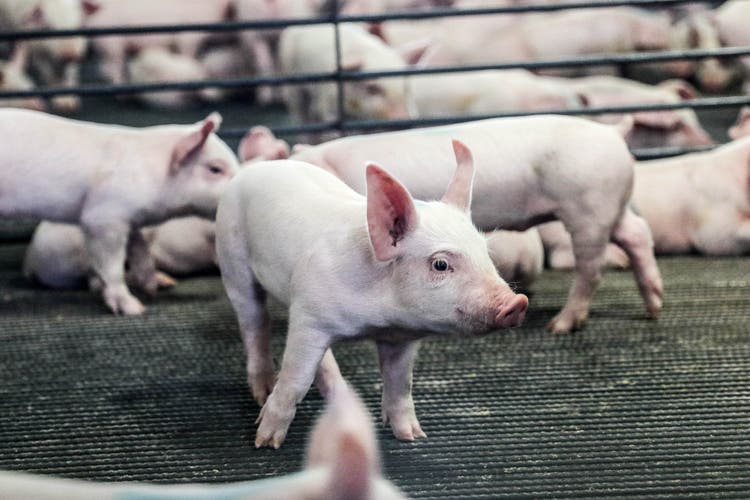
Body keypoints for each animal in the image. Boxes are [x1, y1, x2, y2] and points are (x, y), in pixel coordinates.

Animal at [0, 109, 239, 314]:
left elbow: (141, 252)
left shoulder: (130, 221)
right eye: (215, 169)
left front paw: (155, 287)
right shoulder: (103, 217)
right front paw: (136, 309)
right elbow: (112, 266)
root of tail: (28, 264)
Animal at [214, 140, 532, 446]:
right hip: (233, 262)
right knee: (255, 324)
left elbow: (400, 384)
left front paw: (412, 436)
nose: (517, 302)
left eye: (485, 252)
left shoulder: (400, 338)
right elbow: (296, 380)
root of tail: (254, 169)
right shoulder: (309, 318)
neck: (376, 321)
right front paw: (265, 442)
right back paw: (262, 391)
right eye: (440, 264)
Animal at [278, 24, 432, 139]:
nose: (403, 119)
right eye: (372, 88)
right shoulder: (329, 99)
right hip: (291, 81)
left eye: (406, 87)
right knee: (301, 114)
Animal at [292, 115, 664, 334]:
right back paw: (654, 308)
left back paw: (559, 326)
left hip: (588, 206)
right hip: (610, 204)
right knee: (637, 233)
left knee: (592, 266)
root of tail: (611, 131)